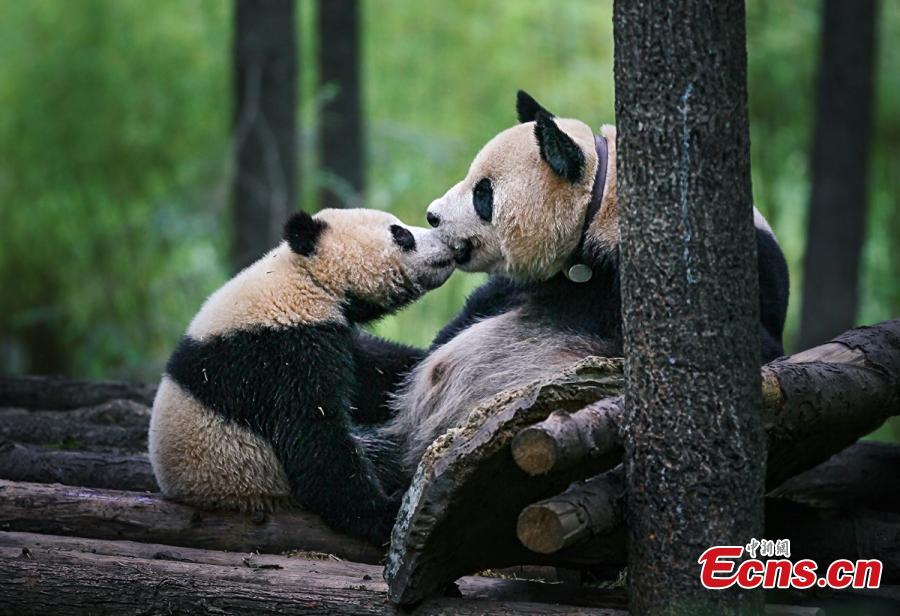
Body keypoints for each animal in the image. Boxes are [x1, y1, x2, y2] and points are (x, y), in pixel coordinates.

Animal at [148, 208, 454, 545]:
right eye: (400, 234)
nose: (448, 245)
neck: (306, 280)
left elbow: (378, 376)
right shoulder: (279, 355)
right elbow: (313, 437)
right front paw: (383, 515)